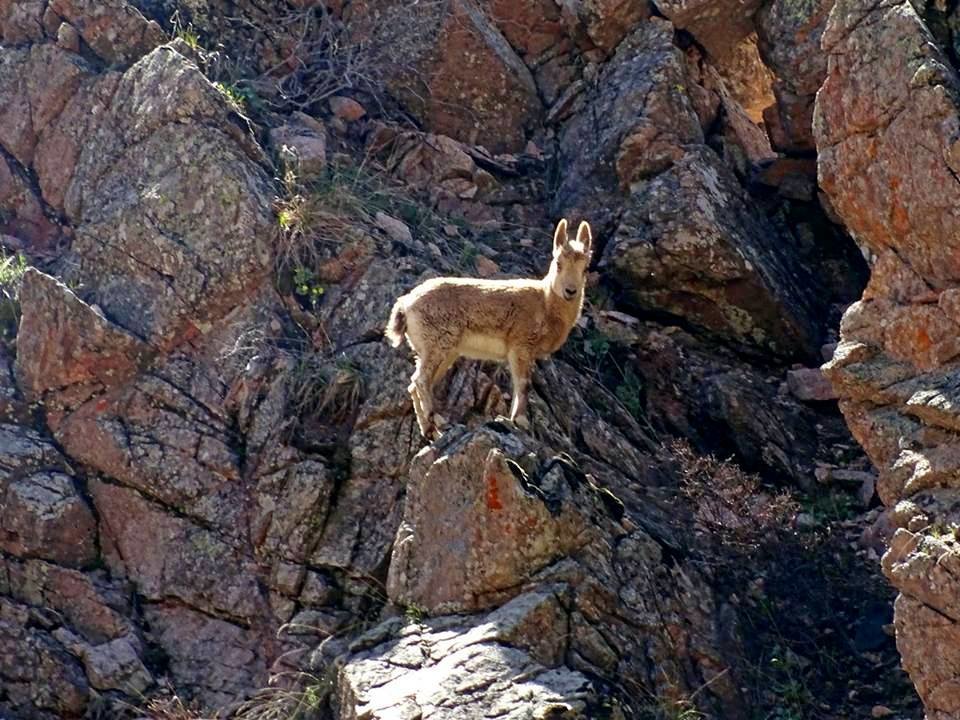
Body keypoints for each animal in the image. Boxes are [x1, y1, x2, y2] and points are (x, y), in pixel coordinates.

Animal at [384, 217, 592, 436]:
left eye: (586, 268)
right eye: (558, 263)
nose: (570, 291)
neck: (545, 303)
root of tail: (405, 305)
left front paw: (511, 419)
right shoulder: (520, 346)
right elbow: (523, 384)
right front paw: (520, 420)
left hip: (443, 352)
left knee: (415, 384)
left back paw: (430, 430)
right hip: (437, 345)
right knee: (421, 380)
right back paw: (438, 419)